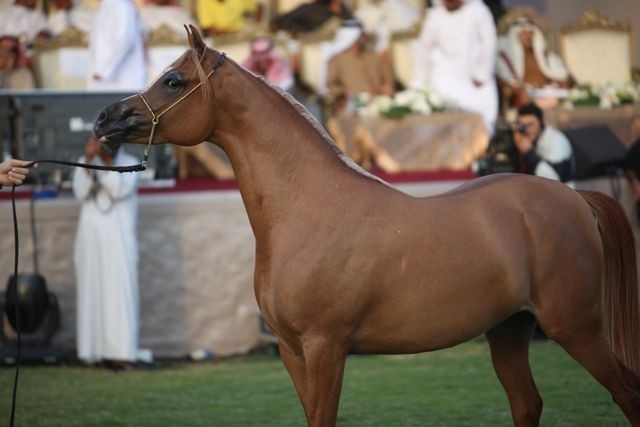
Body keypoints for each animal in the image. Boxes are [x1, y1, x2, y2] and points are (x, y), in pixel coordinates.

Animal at [93, 25, 640, 426]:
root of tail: (574, 198)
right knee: (528, 405)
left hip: (576, 328)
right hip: (508, 330)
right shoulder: (292, 352)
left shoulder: (326, 348)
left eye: (173, 80)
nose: (105, 119)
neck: (310, 208)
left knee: (625, 394)